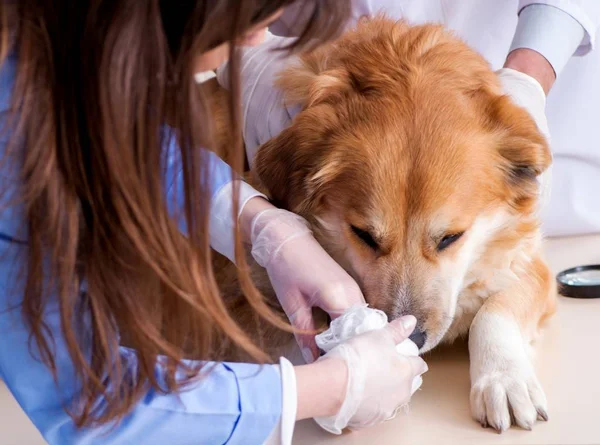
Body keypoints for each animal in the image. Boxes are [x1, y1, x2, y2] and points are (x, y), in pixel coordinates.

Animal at [209, 16, 556, 430]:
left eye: (451, 237)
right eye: (363, 235)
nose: (416, 340)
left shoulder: (529, 262)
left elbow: (493, 312)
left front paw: (503, 378)